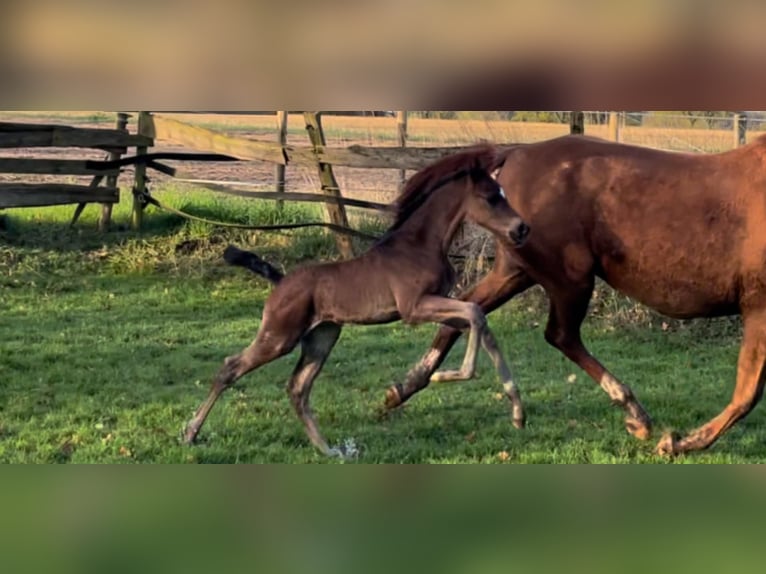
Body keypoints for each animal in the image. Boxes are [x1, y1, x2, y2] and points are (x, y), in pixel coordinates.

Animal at [184, 145, 536, 460]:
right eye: (491, 197)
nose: (521, 228)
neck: (421, 245)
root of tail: (281, 280)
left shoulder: (439, 304)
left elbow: (478, 321)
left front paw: (517, 413)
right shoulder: (414, 308)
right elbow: (475, 312)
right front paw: (447, 376)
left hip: (322, 337)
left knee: (298, 388)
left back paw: (330, 450)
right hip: (280, 336)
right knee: (231, 368)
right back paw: (190, 433)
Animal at [388, 135, 766, 460]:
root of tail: (518, 152)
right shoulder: (757, 307)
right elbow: (747, 393)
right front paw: (677, 443)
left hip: (516, 271)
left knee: (468, 308)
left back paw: (405, 387)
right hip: (570, 278)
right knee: (560, 334)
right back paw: (635, 414)